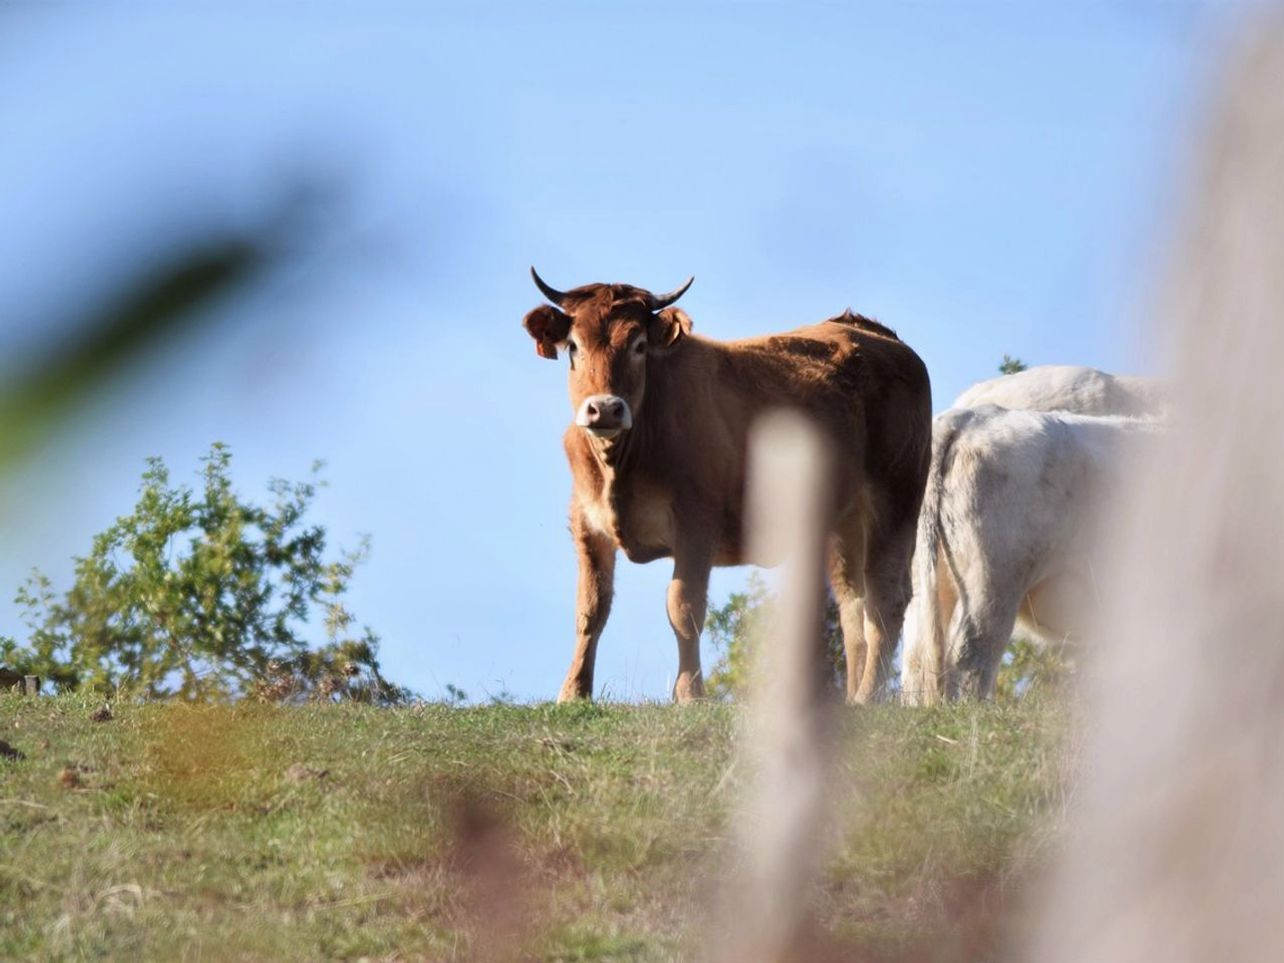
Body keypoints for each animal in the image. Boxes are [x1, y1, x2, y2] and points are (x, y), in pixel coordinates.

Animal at [522, 269, 932, 704]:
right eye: (573, 347)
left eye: (638, 345)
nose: (605, 409)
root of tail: (871, 332)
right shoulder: (586, 523)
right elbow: (590, 609)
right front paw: (574, 691)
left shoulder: (696, 522)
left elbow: (683, 607)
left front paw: (689, 693)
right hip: (844, 522)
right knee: (854, 605)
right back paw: (853, 698)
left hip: (896, 497)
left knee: (885, 600)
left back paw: (869, 695)